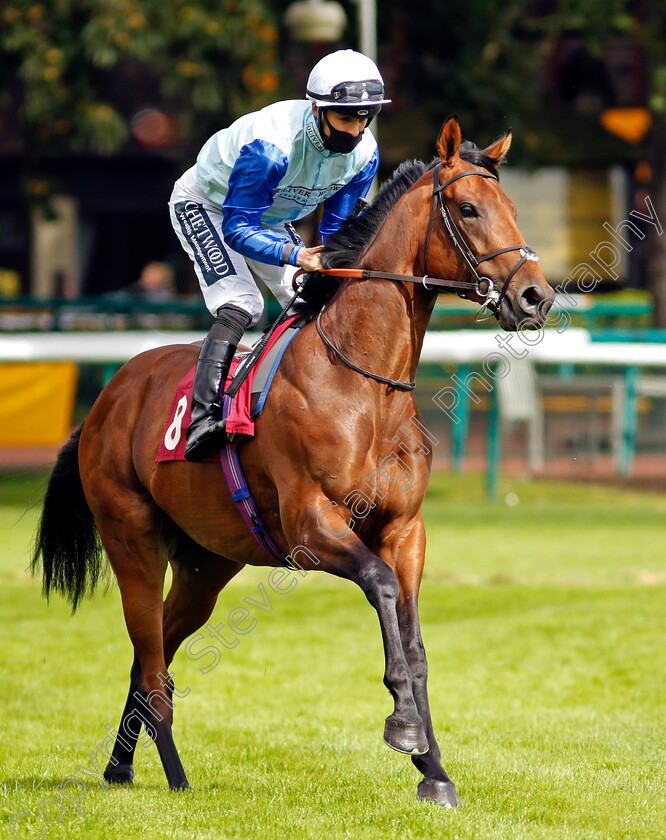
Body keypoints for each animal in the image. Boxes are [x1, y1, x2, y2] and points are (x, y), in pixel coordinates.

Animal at [31, 118, 552, 808]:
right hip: (132, 540)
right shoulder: (312, 524)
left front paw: (435, 773)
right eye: (468, 208)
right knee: (150, 656)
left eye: (512, 206)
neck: (365, 384)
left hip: (206, 565)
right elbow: (381, 588)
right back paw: (175, 775)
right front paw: (404, 727)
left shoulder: (404, 530)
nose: (535, 296)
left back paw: (120, 767)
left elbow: (414, 642)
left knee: (153, 657)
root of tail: (106, 400)